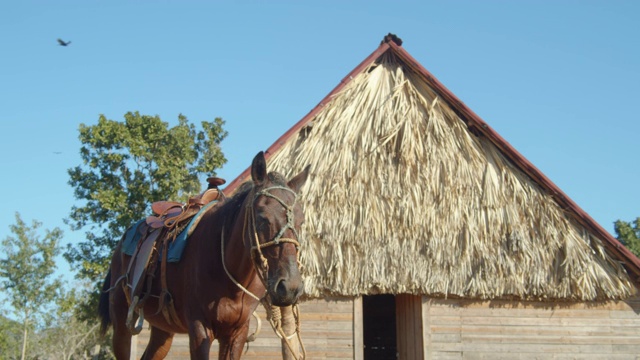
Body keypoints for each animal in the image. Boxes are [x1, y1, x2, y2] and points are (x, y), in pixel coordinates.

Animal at [97, 152, 310, 360]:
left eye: (300, 221)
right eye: (262, 217)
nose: (290, 287)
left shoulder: (237, 333)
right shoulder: (200, 329)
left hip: (162, 329)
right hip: (121, 323)